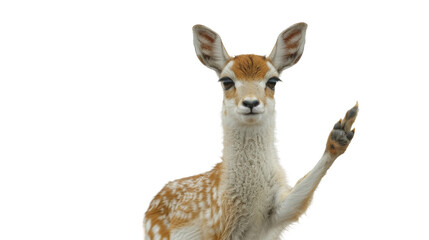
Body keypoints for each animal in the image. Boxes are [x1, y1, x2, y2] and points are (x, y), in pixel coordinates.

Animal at [144, 22, 358, 238]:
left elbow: (299, 200)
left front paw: (341, 132)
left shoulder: (275, 211)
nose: (250, 103)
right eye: (226, 81)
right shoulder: (217, 226)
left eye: (273, 81)